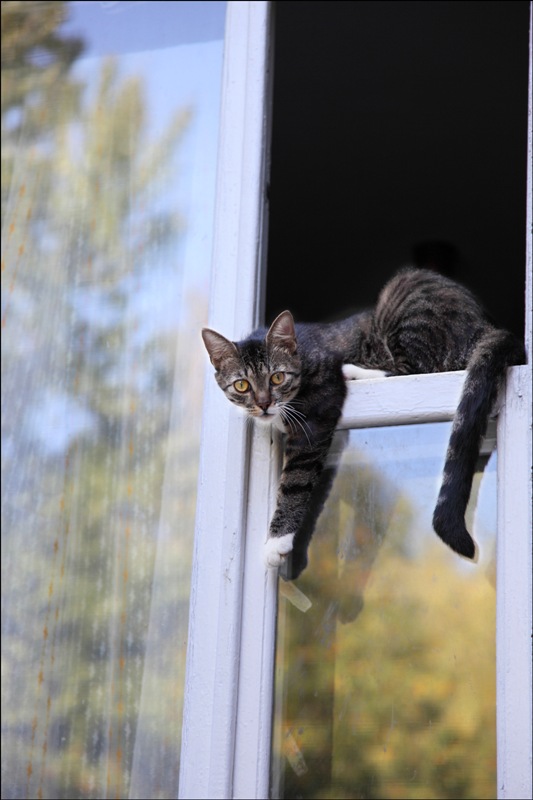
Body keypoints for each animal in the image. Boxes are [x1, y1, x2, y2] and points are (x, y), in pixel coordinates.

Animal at [201, 268, 524, 579]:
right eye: (242, 385)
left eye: (277, 377)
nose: (264, 403)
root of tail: (486, 326)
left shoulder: (317, 417)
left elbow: (296, 482)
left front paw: (276, 543)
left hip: (404, 295)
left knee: (414, 369)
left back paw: (356, 371)